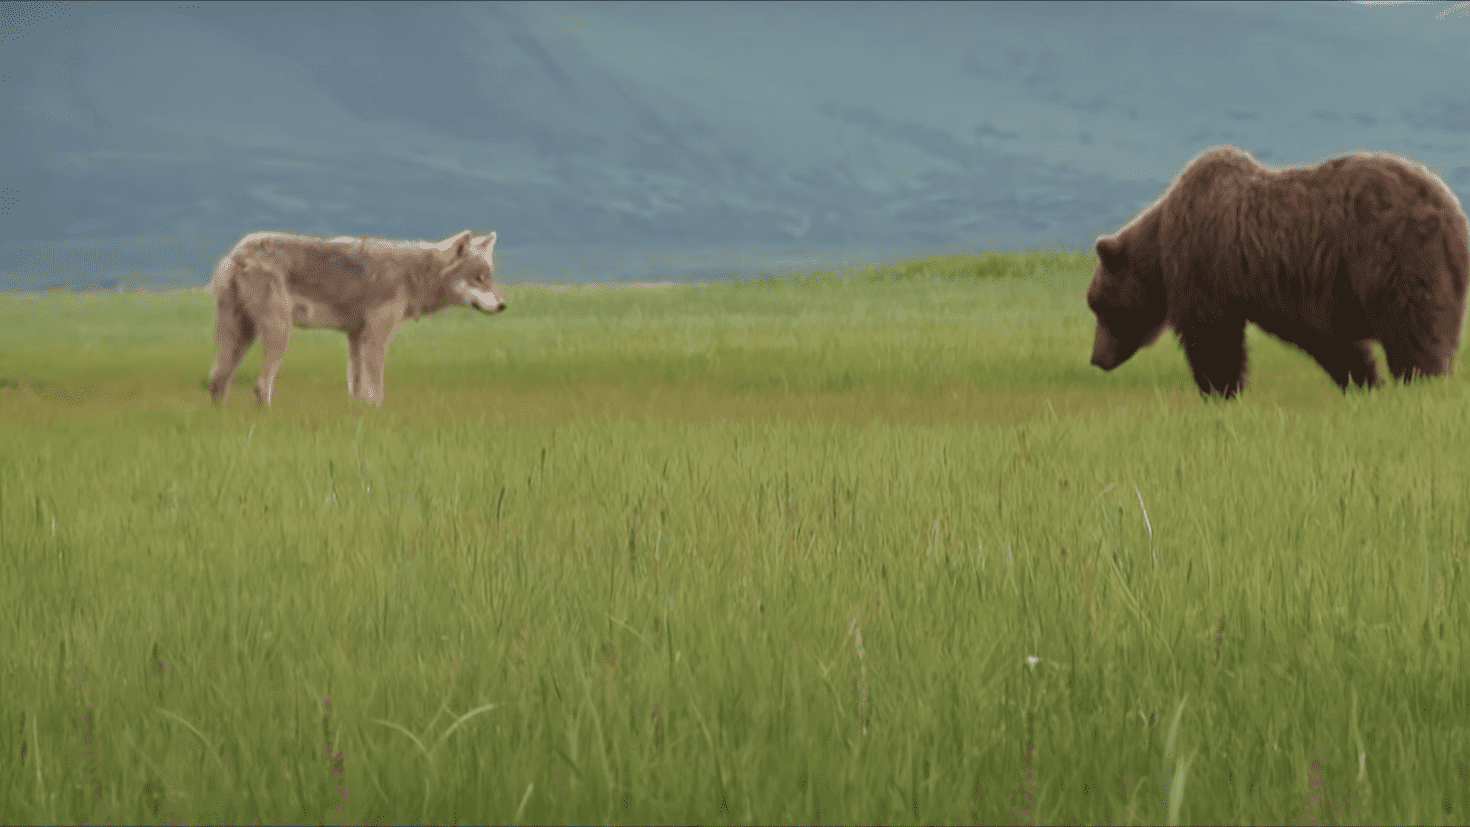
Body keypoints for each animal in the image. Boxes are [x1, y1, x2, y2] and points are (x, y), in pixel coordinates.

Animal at [207, 230, 506, 407]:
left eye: (490, 277)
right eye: (478, 278)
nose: (503, 305)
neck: (414, 274)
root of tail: (237, 253)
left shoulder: (355, 337)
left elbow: (357, 390)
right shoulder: (376, 336)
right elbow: (375, 392)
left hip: (240, 337)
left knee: (216, 381)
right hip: (278, 334)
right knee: (260, 386)